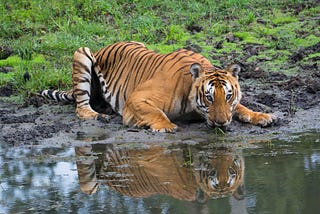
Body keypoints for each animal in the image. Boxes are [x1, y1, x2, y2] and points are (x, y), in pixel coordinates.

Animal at [39, 41, 276, 132]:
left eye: (227, 96)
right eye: (209, 97)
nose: (221, 123)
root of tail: (102, 48)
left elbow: (242, 108)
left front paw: (262, 116)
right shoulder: (136, 100)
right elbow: (154, 112)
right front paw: (166, 126)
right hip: (82, 53)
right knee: (81, 107)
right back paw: (99, 115)